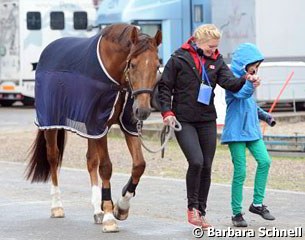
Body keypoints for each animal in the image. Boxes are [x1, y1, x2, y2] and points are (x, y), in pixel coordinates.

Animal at [25, 23, 163, 232]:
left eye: (156, 66)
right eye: (132, 64)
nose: (143, 110)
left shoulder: (123, 125)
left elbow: (139, 165)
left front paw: (121, 207)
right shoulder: (99, 125)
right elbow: (106, 167)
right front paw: (109, 217)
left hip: (89, 129)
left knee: (91, 161)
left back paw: (97, 210)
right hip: (51, 124)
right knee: (53, 158)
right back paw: (57, 206)